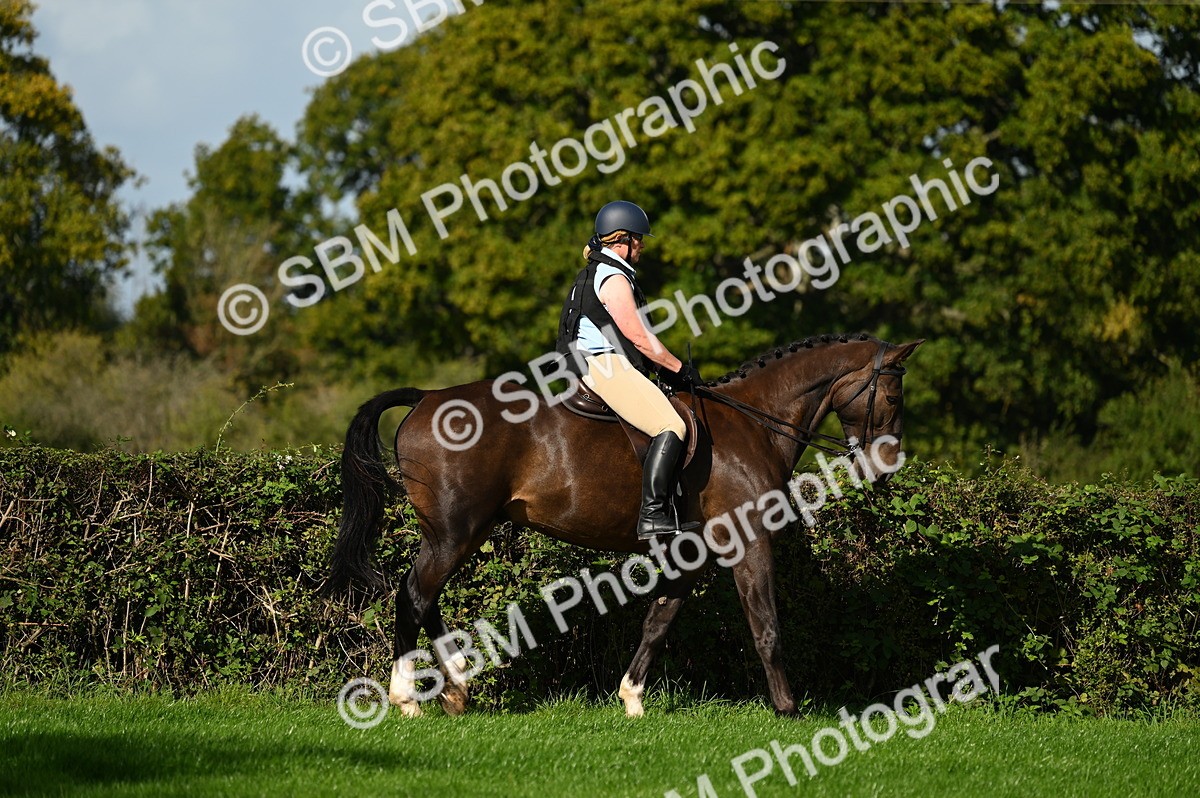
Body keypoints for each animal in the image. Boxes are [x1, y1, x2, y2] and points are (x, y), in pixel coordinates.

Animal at [328, 332, 923, 717]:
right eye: (893, 395)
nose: (886, 465)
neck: (754, 421)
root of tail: (427, 398)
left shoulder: (693, 553)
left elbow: (658, 622)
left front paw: (632, 699)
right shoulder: (748, 540)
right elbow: (766, 626)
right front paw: (788, 708)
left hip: (457, 535)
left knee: (424, 599)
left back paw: (455, 689)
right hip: (455, 533)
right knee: (414, 594)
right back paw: (408, 698)